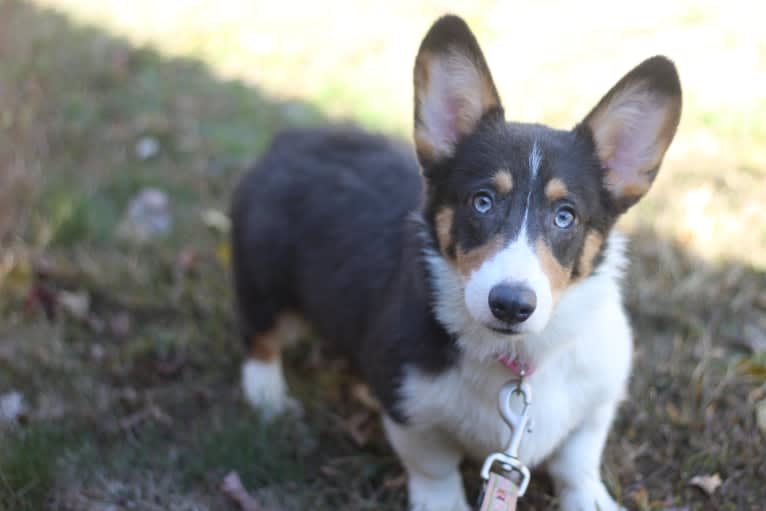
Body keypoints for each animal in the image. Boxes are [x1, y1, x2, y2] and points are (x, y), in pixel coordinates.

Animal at [230, 14, 684, 510]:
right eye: (482, 201)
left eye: (566, 216)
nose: (510, 305)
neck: (518, 356)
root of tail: (291, 139)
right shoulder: (408, 406)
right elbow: (435, 469)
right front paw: (443, 502)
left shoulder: (598, 401)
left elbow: (577, 460)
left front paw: (590, 498)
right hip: (263, 277)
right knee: (259, 336)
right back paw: (269, 398)